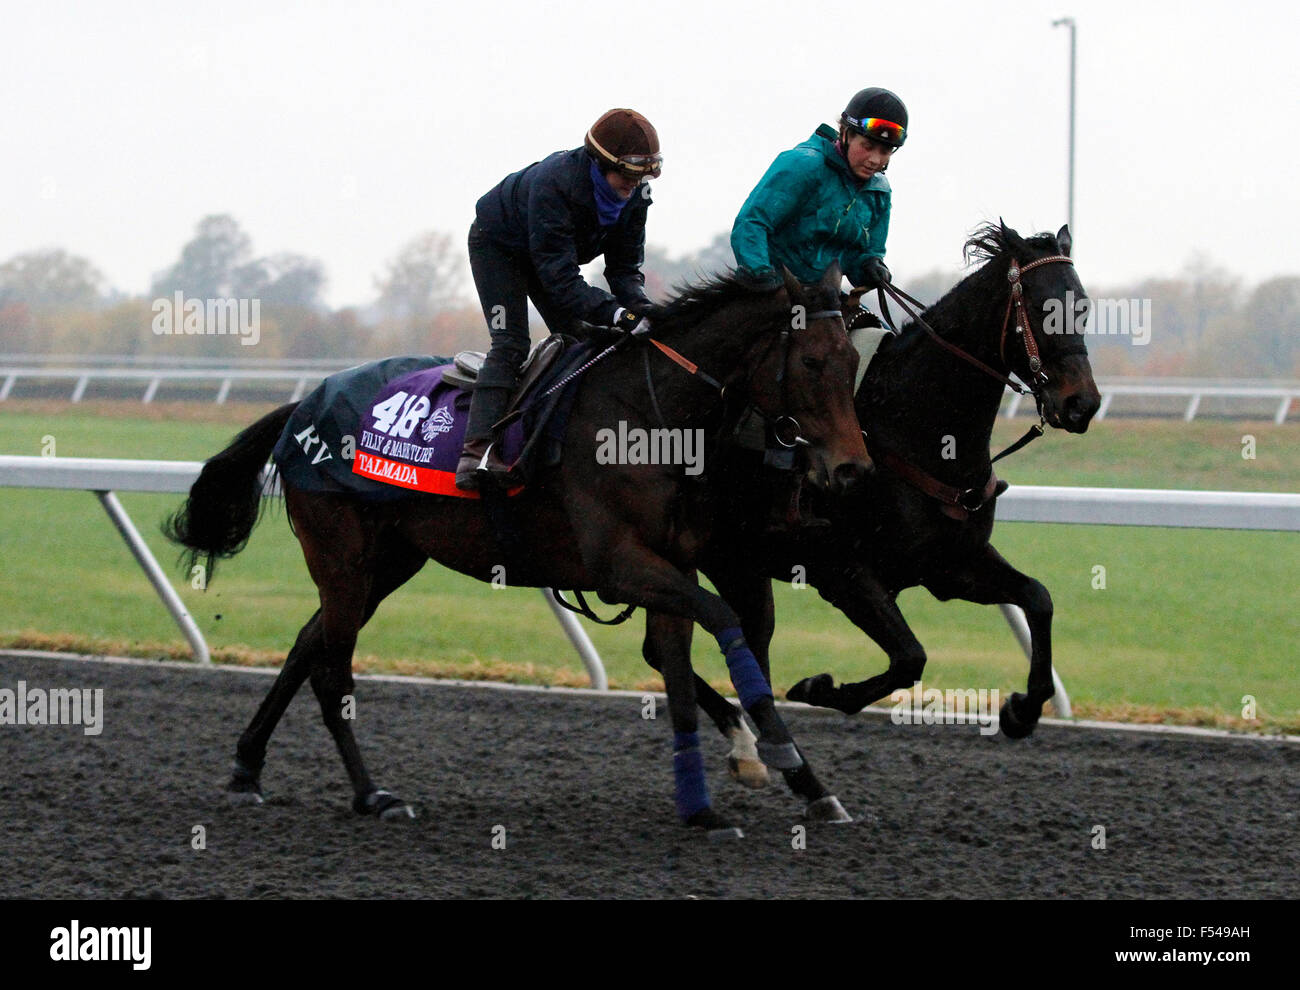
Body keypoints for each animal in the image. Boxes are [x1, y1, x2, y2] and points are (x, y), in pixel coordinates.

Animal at [165, 263, 873, 831]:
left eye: (853, 365)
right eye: (811, 363)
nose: (851, 470)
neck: (650, 416)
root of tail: (302, 406)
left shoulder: (669, 565)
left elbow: (676, 677)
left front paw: (706, 806)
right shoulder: (620, 565)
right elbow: (723, 623)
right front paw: (774, 752)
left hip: (387, 561)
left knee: (305, 646)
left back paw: (247, 770)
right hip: (342, 554)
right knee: (330, 668)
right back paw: (373, 795)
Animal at [644, 222, 1102, 800]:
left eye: (1083, 307)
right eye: (1044, 309)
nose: (1083, 404)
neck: (914, 427)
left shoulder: (950, 565)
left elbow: (1037, 598)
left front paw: (1021, 710)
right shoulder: (842, 572)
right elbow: (910, 656)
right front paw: (820, 687)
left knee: (697, 650)